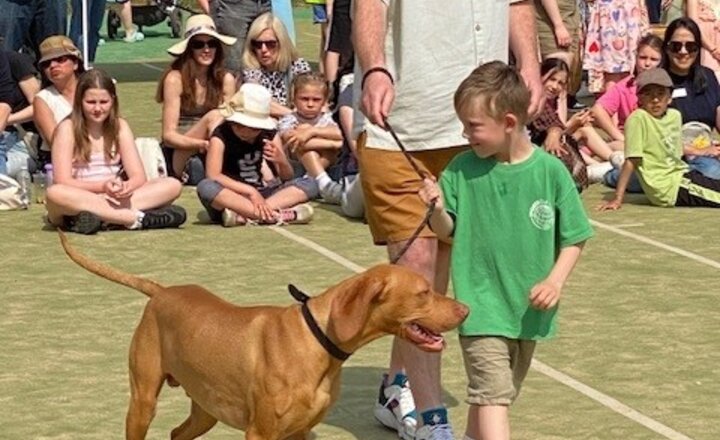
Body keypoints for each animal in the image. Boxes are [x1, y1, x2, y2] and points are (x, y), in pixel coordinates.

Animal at [59, 232, 470, 438]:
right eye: (424, 292)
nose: (466, 310)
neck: (315, 340)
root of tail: (161, 291)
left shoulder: (300, 432)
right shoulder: (260, 432)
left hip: (205, 409)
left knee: (177, 434)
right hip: (143, 401)